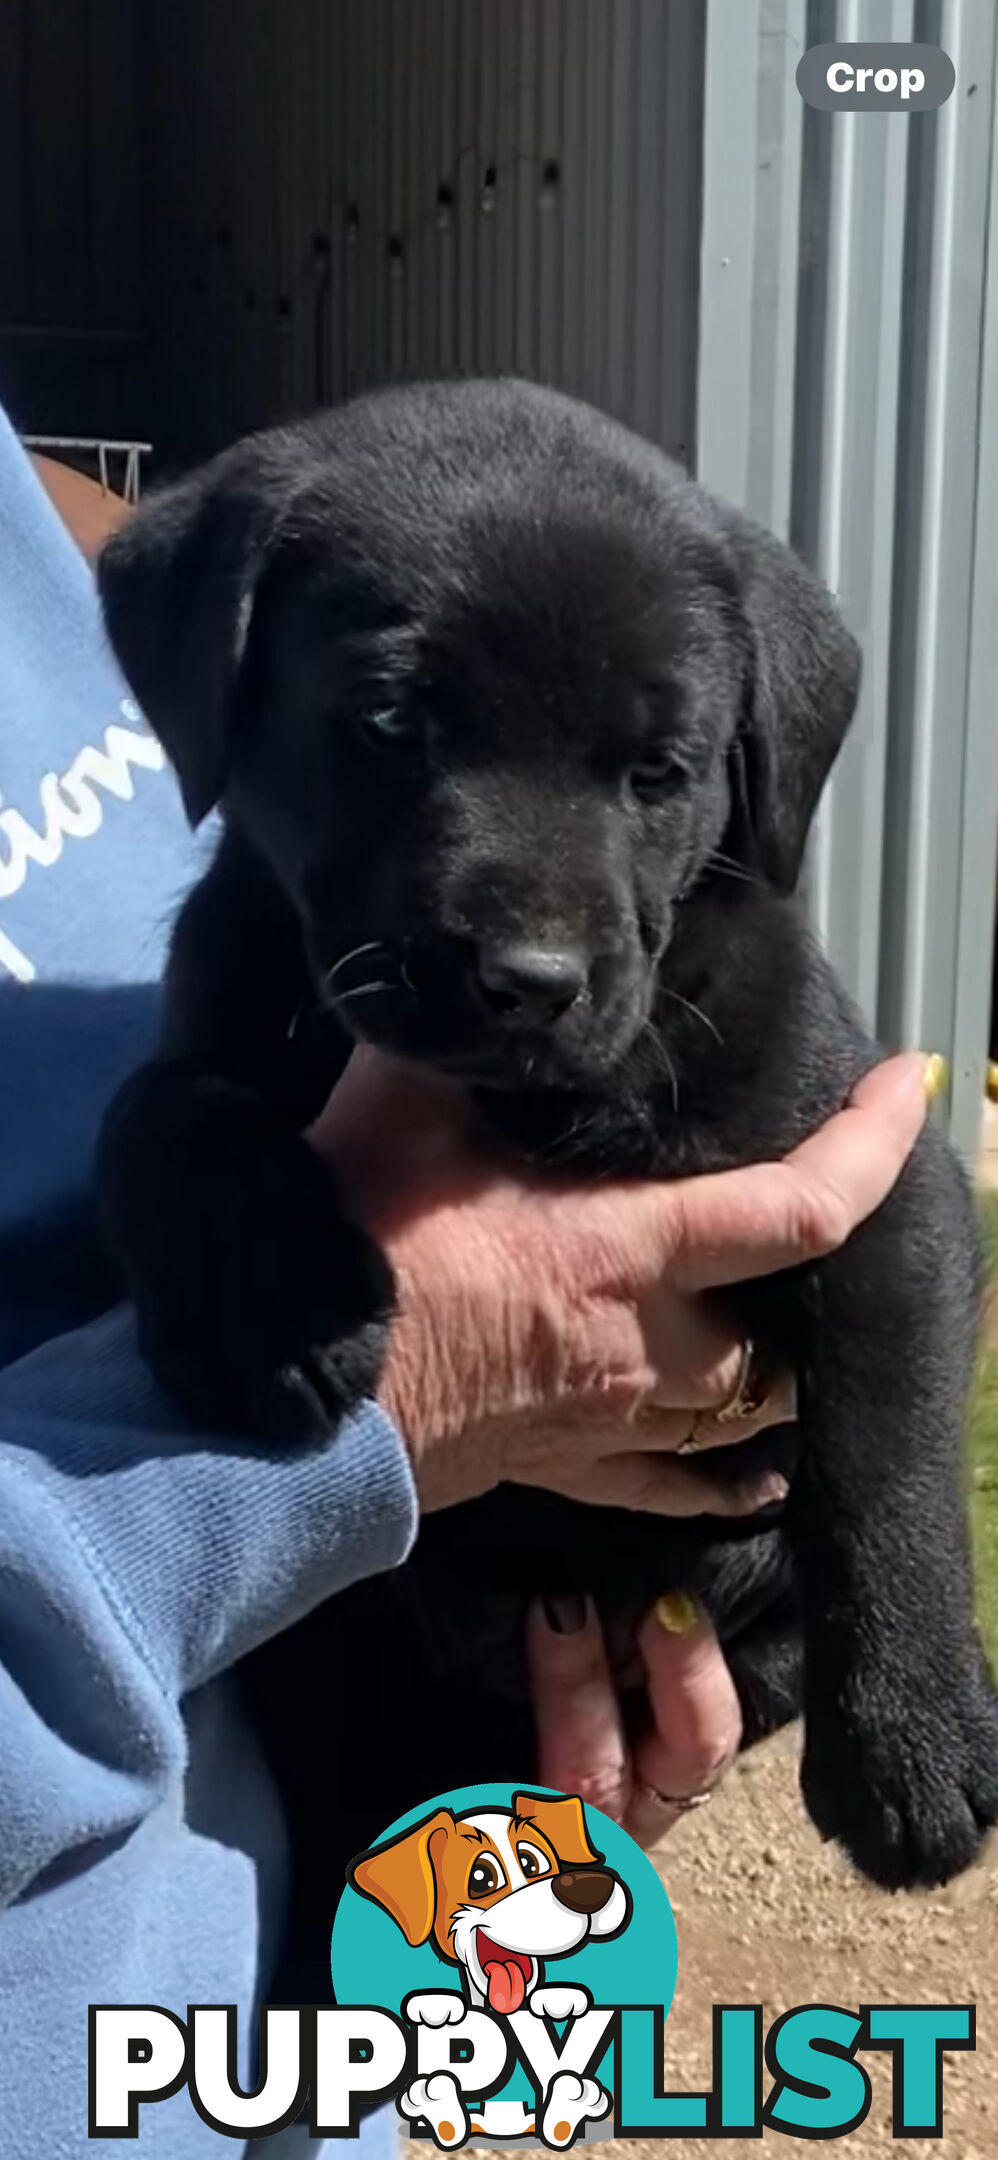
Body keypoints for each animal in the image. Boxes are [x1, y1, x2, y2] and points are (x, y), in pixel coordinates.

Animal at [95, 380, 998, 1918]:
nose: (529, 979)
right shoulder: (222, 998)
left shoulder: (883, 1182)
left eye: (657, 773)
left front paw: (912, 1740)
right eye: (389, 723)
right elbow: (167, 1115)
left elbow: (884, 1442)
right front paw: (273, 1307)